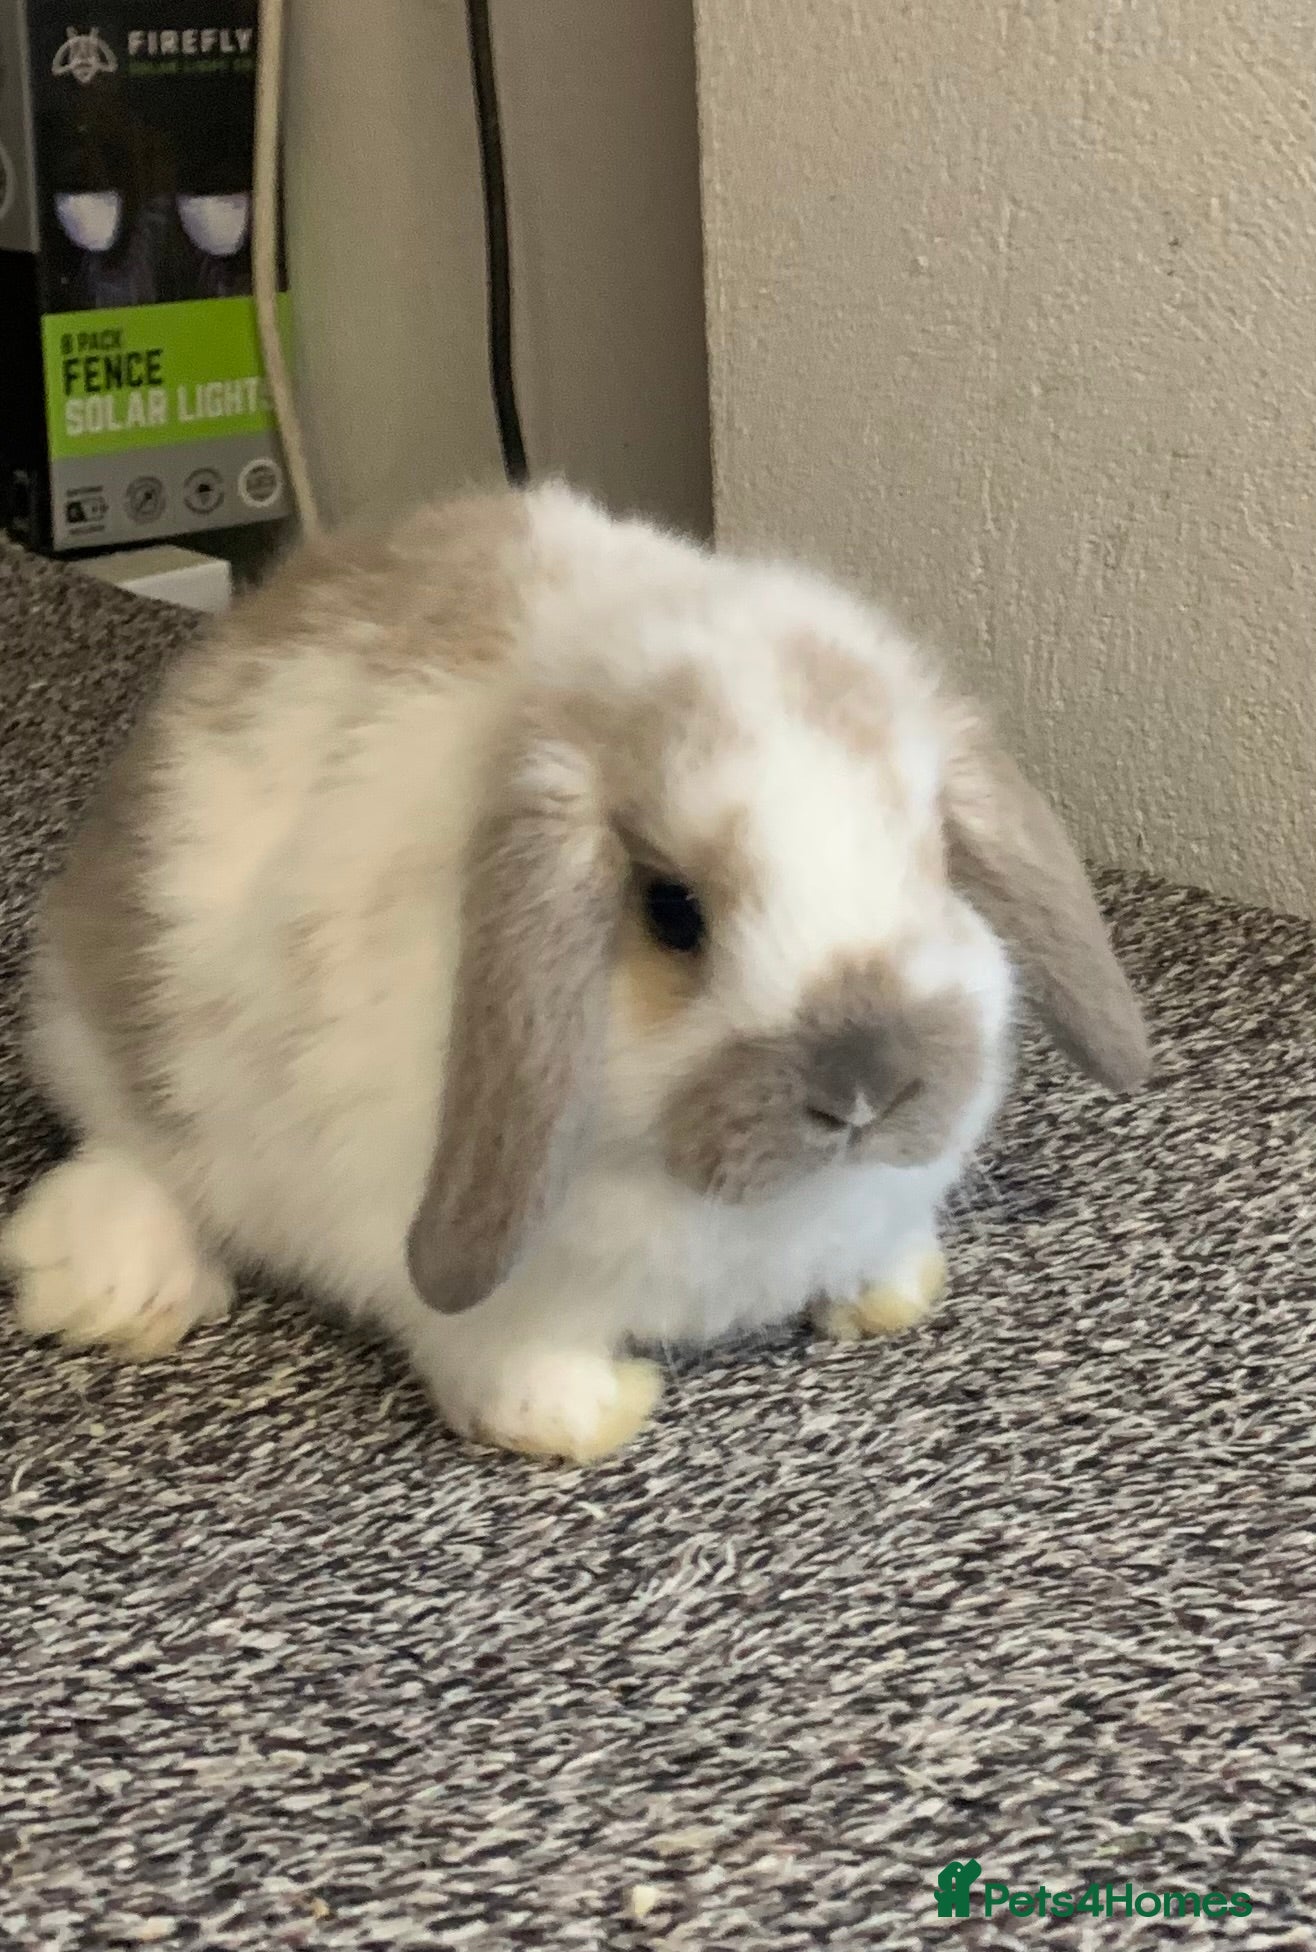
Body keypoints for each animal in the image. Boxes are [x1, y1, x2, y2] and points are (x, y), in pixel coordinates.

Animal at [1, 484, 1149, 1462]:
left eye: (936, 862)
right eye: (672, 911)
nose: (864, 1088)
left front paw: (888, 1300)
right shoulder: (476, 1288)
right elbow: (509, 1365)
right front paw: (591, 1418)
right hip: (119, 1043)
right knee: (133, 1151)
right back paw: (112, 1290)